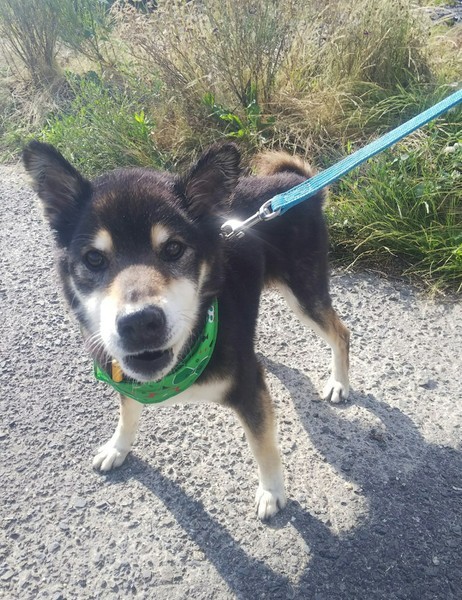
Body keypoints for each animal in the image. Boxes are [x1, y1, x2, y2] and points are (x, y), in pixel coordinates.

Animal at [23, 141, 350, 519]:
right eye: (93, 259)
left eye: (173, 249)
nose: (140, 322)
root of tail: (296, 186)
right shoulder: (124, 375)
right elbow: (126, 414)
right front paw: (117, 447)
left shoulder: (249, 390)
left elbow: (263, 447)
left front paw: (271, 492)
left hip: (304, 293)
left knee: (341, 333)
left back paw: (339, 383)